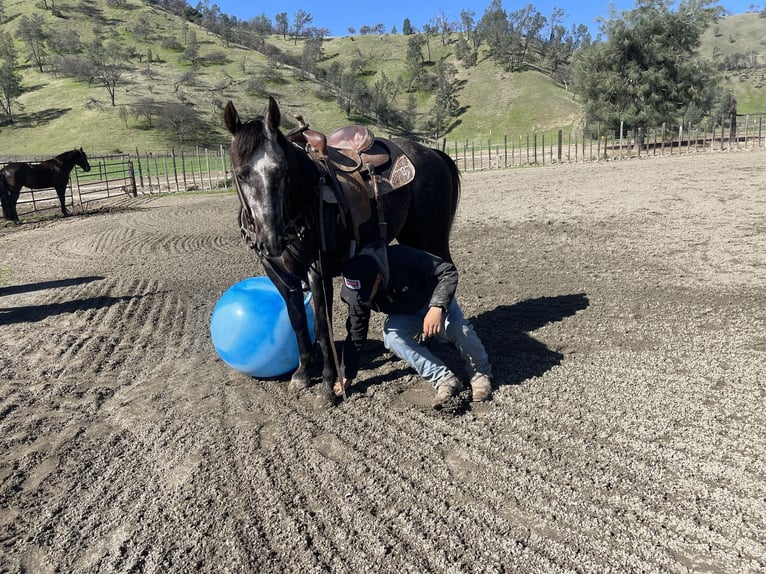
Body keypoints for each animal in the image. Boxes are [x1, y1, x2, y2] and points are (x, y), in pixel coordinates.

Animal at [224, 97, 462, 408]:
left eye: (282, 170)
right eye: (241, 174)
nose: (271, 240)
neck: (301, 201)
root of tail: (432, 153)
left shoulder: (318, 272)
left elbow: (322, 328)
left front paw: (327, 387)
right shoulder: (278, 273)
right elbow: (297, 321)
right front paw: (302, 374)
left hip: (433, 234)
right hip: (412, 235)